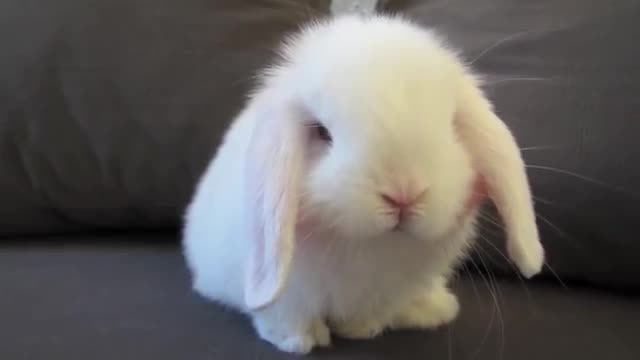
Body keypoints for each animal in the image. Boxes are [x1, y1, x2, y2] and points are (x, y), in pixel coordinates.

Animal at [181, 13, 544, 354]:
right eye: (321, 131)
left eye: (452, 125)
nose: (403, 195)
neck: (370, 247)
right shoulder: (286, 291)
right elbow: (284, 313)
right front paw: (300, 341)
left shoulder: (386, 291)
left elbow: (369, 313)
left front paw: (361, 330)